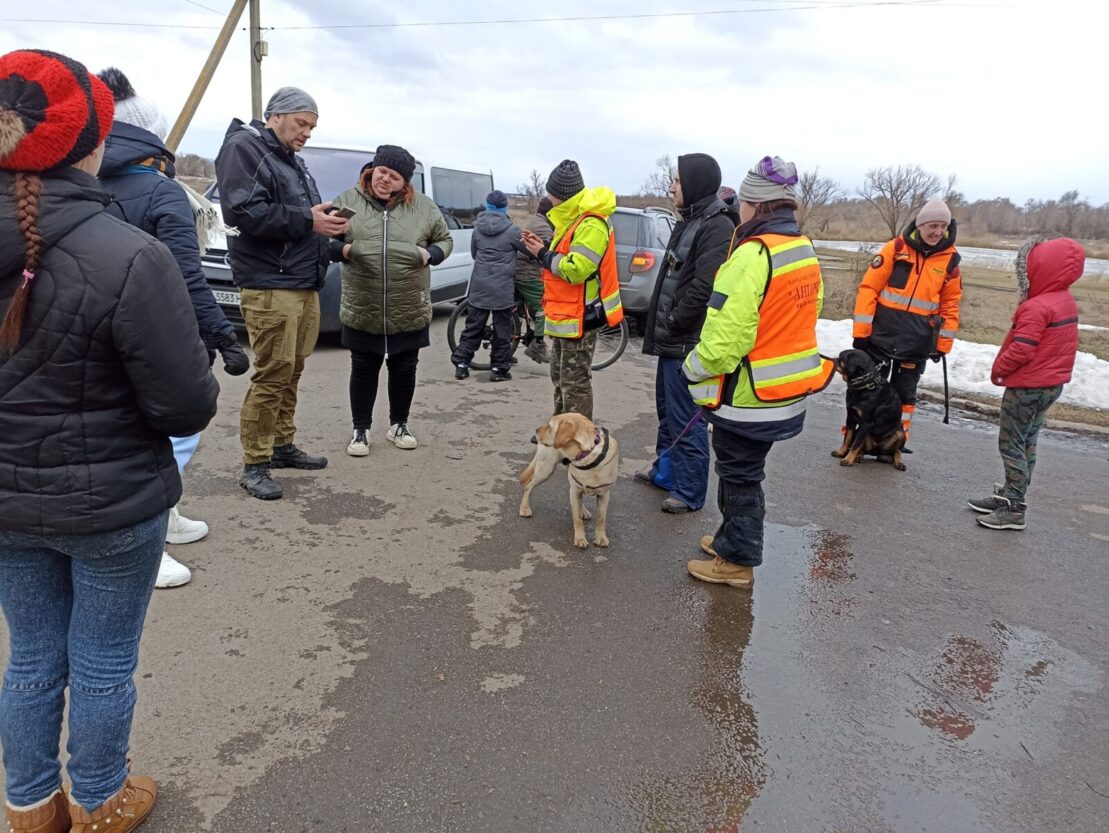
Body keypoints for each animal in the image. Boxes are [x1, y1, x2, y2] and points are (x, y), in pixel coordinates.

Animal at [516, 414, 621, 550]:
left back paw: (583, 511)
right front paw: (580, 539)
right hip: (545, 469)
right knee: (528, 486)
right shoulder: (575, 491)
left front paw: (601, 538)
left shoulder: (604, 494)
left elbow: (601, 518)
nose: (536, 430)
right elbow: (577, 519)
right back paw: (524, 508)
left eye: (550, 426)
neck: (587, 455)